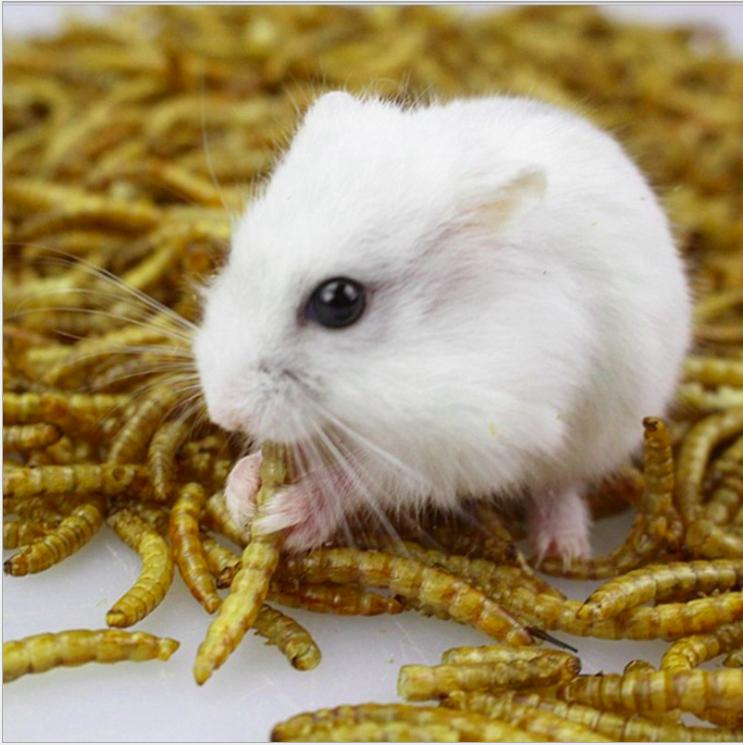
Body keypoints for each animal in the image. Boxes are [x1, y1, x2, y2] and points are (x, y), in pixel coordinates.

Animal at [194, 91, 692, 560]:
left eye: (340, 302)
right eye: (233, 256)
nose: (224, 413)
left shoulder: (463, 441)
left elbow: (362, 475)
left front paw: (286, 516)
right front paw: (241, 490)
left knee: (561, 485)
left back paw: (562, 551)